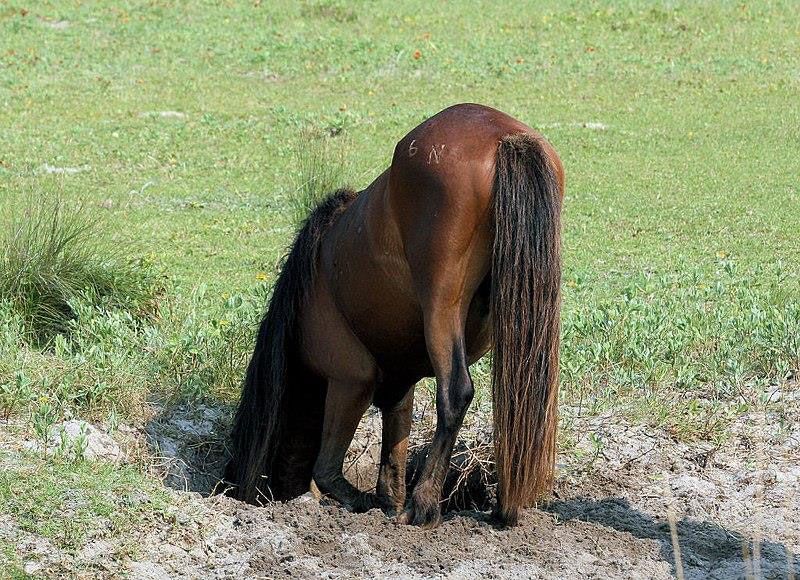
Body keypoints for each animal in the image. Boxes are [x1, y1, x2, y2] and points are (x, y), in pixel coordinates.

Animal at [222, 102, 564, 528]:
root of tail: (503, 136)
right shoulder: (399, 384)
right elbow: (393, 453)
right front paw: (389, 501)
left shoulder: (351, 378)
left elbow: (328, 469)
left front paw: (369, 502)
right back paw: (504, 506)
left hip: (441, 309)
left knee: (455, 392)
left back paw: (424, 504)